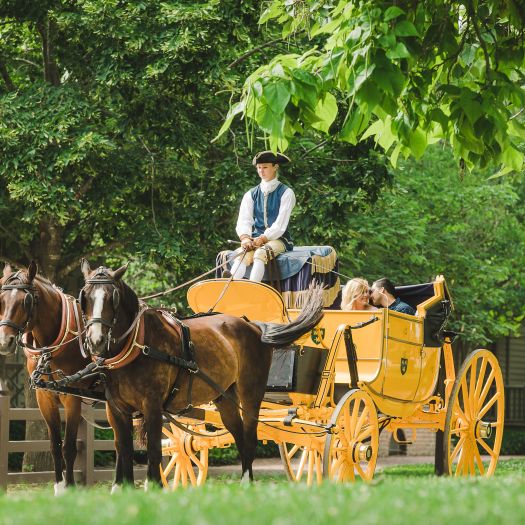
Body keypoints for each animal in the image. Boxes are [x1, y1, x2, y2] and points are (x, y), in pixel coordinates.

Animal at [0, 260, 90, 492]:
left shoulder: (72, 397)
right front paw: (59, 487)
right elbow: (55, 445)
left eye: (26, 301)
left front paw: (71, 487)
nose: (4, 342)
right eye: (1, 299)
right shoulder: (45, 397)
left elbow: (69, 447)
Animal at [80, 258, 324, 488]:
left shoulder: (152, 406)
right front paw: (123, 489)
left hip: (251, 393)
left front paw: (155, 487)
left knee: (250, 438)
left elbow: (153, 452)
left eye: (112, 297)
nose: (96, 341)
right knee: (240, 437)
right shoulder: (116, 409)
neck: (138, 346)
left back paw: (247, 482)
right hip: (224, 397)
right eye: (85, 297)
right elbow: (123, 451)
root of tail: (253, 325)